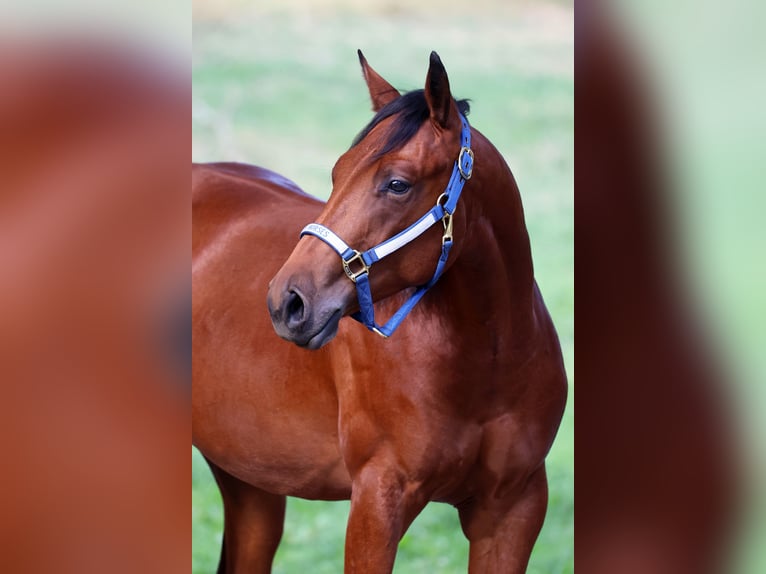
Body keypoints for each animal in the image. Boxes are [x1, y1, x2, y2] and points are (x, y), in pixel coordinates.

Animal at [192, 51, 567, 573]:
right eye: (337, 173)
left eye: (397, 184)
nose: (288, 301)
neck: (487, 361)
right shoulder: (376, 501)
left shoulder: (513, 509)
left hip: (249, 480)